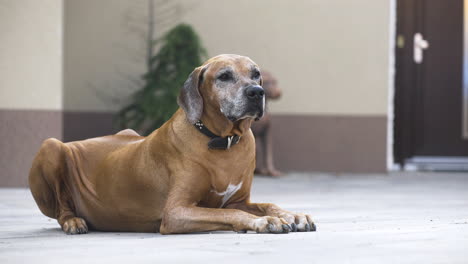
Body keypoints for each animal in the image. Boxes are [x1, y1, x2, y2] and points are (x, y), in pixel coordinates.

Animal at [28, 54, 314, 234]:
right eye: (224, 76)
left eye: (256, 74)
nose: (257, 92)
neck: (222, 141)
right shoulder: (176, 213)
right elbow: (228, 215)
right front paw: (262, 222)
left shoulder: (238, 200)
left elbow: (265, 204)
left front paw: (292, 215)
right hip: (51, 146)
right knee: (61, 209)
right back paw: (73, 222)